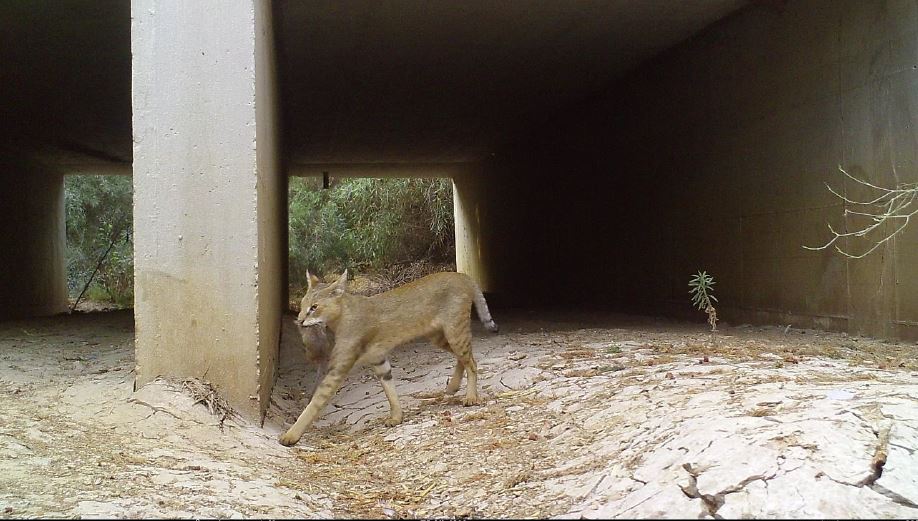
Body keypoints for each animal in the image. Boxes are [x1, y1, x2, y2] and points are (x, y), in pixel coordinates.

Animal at [280, 270, 500, 444]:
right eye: (302, 305)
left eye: (314, 307)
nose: (299, 320)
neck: (341, 317)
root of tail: (462, 275)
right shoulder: (378, 360)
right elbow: (389, 390)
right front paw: (397, 416)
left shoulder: (338, 368)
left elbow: (315, 402)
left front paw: (291, 435)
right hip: (439, 336)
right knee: (463, 358)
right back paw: (453, 386)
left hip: (454, 331)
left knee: (472, 362)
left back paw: (470, 397)